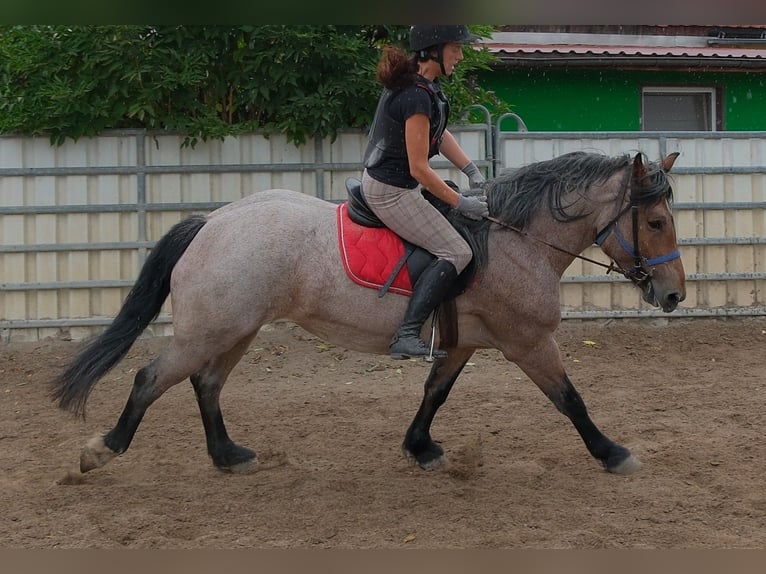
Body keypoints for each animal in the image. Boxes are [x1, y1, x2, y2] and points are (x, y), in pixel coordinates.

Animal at [50, 150, 686, 477]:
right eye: (656, 222)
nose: (675, 295)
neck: (514, 240)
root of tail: (213, 221)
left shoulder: (462, 341)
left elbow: (435, 393)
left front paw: (420, 446)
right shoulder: (528, 342)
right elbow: (570, 399)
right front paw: (613, 452)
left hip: (237, 328)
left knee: (205, 383)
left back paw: (228, 455)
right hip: (211, 328)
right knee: (150, 377)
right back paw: (102, 449)